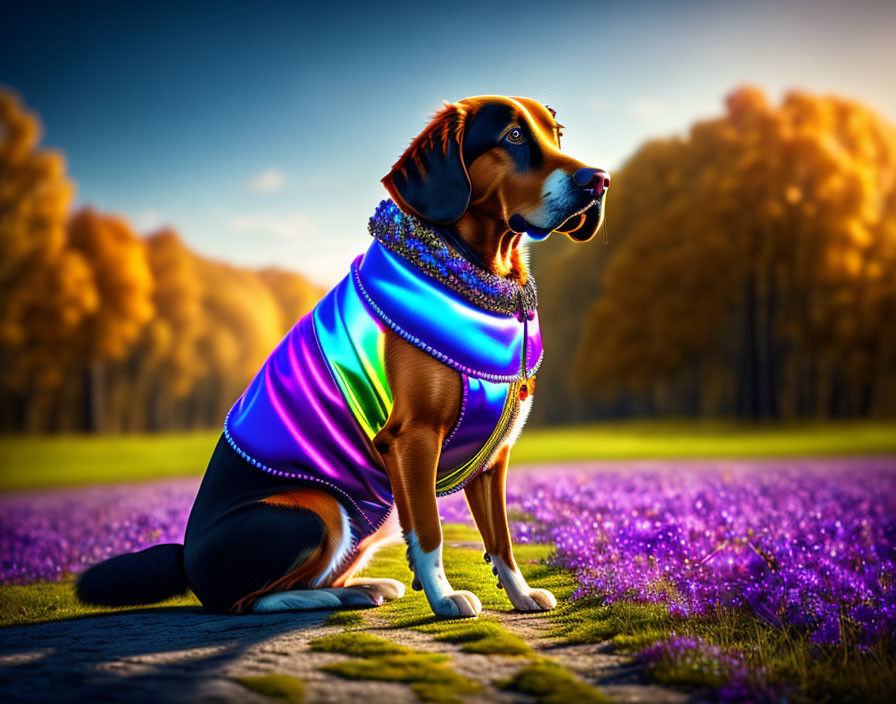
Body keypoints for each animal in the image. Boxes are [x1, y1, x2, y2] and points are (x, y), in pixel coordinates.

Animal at [77, 96, 608, 620]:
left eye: (556, 134)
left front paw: (520, 595)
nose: (599, 179)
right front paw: (444, 599)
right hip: (320, 505)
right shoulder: (412, 438)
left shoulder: (492, 458)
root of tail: (187, 559)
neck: (478, 275)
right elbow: (430, 532)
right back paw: (327, 597)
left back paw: (363, 588)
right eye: (513, 136)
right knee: (249, 601)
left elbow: (500, 539)